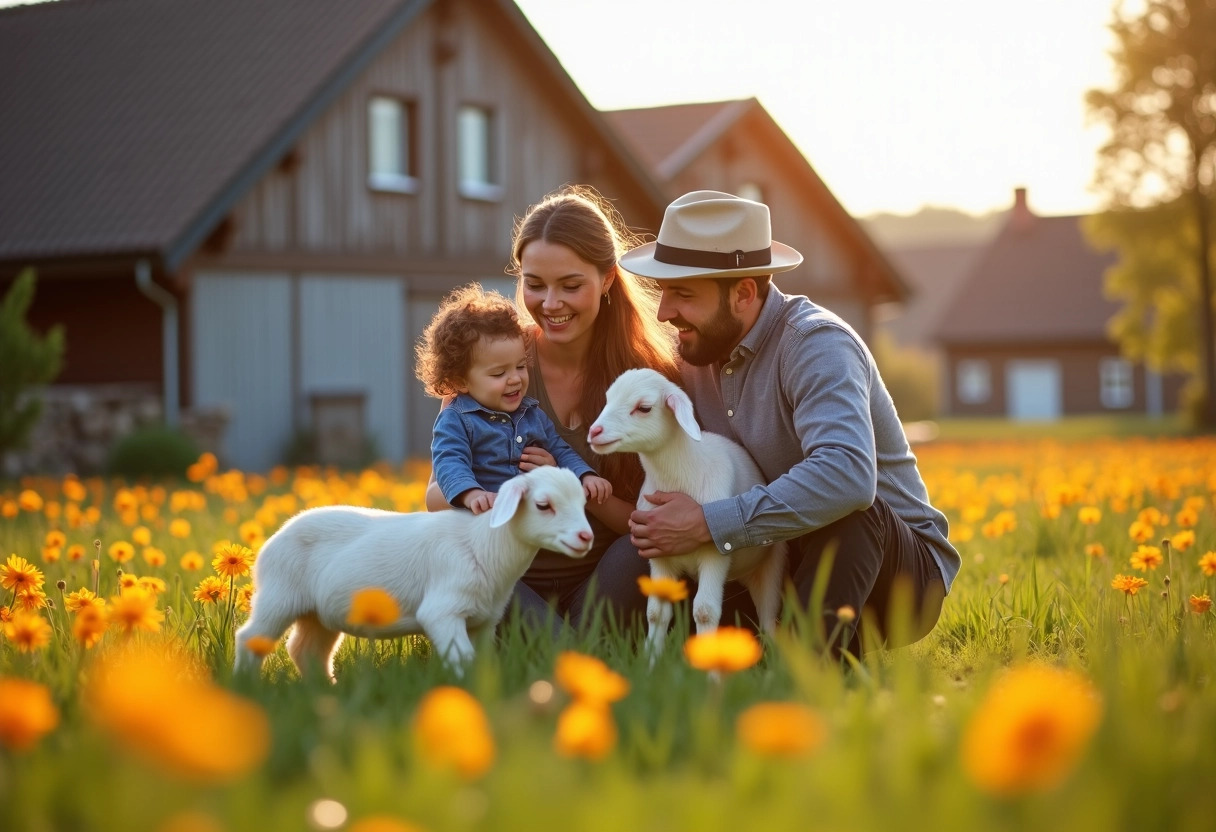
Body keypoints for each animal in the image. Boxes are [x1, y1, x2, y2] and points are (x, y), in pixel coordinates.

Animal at [232, 464, 593, 681]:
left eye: (583, 502)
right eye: (543, 505)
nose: (585, 537)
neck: (485, 543)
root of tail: (272, 540)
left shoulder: (485, 620)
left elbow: (481, 662)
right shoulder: (443, 612)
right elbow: (463, 659)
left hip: (317, 613)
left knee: (306, 650)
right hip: (278, 595)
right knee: (251, 638)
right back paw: (247, 685)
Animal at [588, 369, 787, 656]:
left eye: (644, 408)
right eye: (608, 398)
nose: (595, 431)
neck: (678, 479)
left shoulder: (715, 552)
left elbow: (705, 612)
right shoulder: (657, 555)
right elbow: (655, 613)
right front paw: (651, 661)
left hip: (773, 565)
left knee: (769, 621)